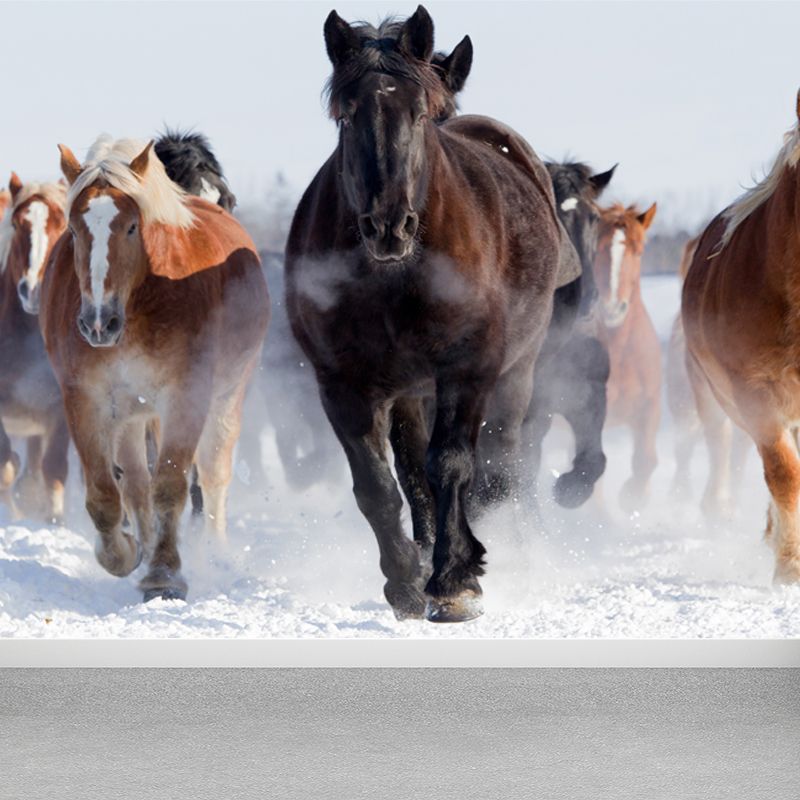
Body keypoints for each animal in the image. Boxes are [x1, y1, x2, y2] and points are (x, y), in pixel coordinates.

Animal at [40, 135, 269, 601]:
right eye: (73, 229)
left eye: (132, 226)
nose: (98, 323)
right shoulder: (85, 399)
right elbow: (106, 493)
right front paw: (126, 554)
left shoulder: (185, 396)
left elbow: (171, 484)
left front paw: (164, 576)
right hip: (132, 413)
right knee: (134, 482)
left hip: (225, 397)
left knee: (213, 476)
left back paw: (214, 552)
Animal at [285, 7, 577, 622]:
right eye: (345, 115)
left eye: (420, 113)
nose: (388, 225)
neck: (397, 277)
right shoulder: (345, 385)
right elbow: (379, 485)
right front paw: (406, 580)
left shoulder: (467, 370)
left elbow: (453, 467)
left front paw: (454, 580)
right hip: (409, 390)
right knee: (414, 470)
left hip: (516, 371)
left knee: (501, 463)